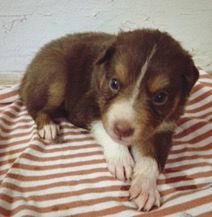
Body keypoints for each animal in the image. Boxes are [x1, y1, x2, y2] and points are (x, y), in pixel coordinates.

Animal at [19, 28, 199, 210]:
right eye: (114, 83)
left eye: (160, 97)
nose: (122, 130)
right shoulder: (85, 106)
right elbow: (104, 128)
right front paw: (121, 159)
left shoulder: (163, 129)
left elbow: (151, 158)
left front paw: (145, 188)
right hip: (56, 77)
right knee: (35, 107)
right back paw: (48, 127)